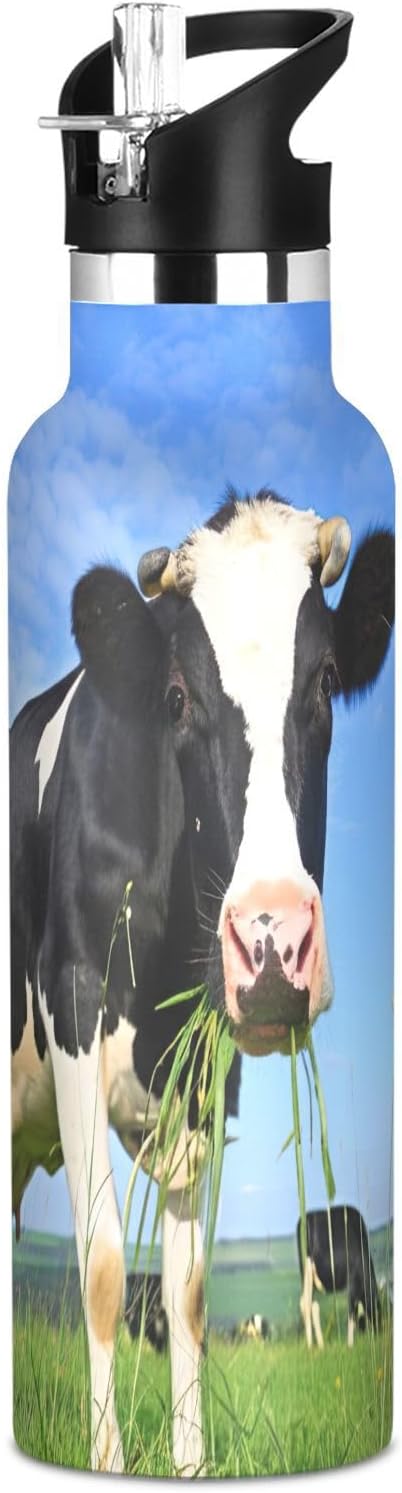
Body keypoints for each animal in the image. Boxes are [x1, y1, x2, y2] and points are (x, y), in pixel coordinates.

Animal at [297, 1205, 381, 1349]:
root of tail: (307, 1216)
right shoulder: (353, 1282)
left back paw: (321, 1345)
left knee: (313, 1305)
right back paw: (310, 1346)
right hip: (308, 1266)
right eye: (377, 1311)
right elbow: (352, 1311)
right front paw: (350, 1345)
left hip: (309, 1275)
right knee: (307, 1304)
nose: (379, 1331)